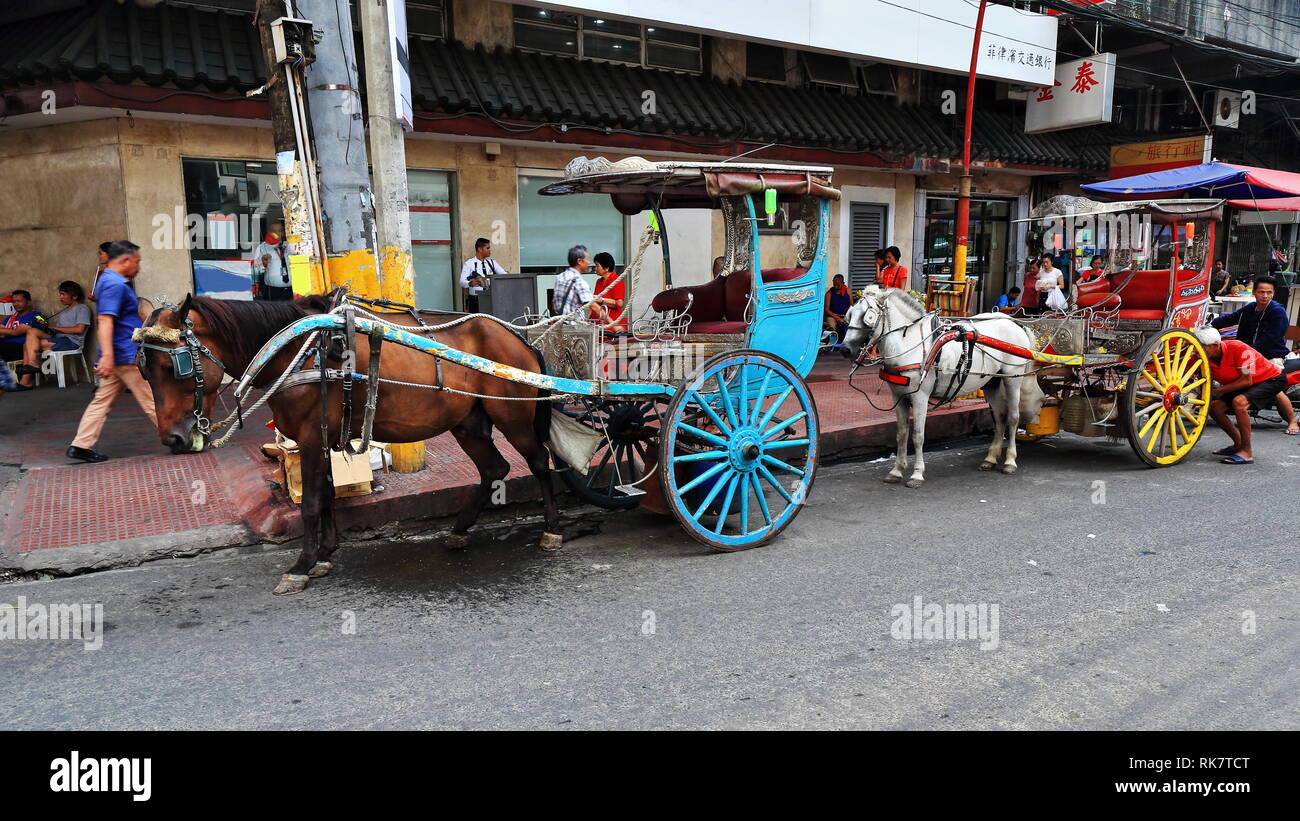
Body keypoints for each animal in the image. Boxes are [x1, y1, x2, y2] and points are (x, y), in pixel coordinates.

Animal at [139, 292, 561, 592]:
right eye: (144, 371)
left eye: (175, 365)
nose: (174, 438)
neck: (296, 351)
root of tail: (519, 337)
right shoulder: (322, 436)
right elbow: (327, 493)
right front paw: (326, 553)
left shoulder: (310, 435)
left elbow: (310, 503)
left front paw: (302, 564)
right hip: (468, 423)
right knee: (495, 467)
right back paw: (459, 531)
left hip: (513, 416)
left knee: (539, 463)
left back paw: (551, 529)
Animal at [842, 287, 1045, 488]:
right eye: (849, 315)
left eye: (867, 316)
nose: (845, 349)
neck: (910, 345)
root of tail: (1014, 322)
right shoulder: (898, 397)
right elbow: (901, 434)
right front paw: (897, 470)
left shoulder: (920, 397)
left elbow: (918, 436)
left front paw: (917, 474)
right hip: (991, 382)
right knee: (1000, 417)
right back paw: (990, 458)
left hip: (1012, 378)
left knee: (1013, 417)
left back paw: (1010, 461)